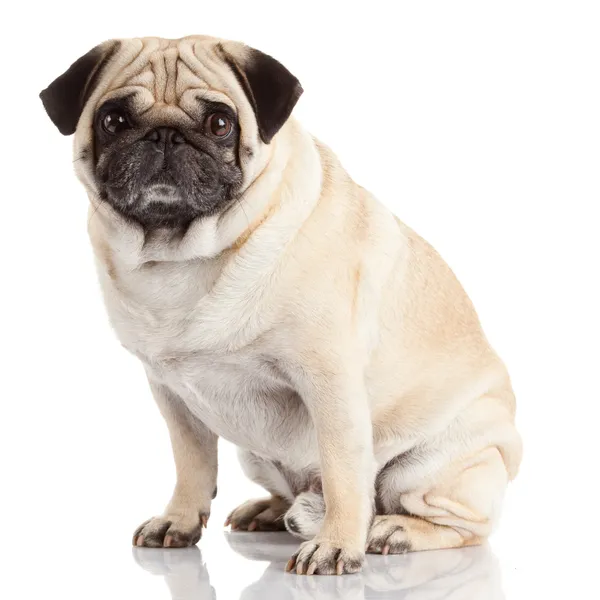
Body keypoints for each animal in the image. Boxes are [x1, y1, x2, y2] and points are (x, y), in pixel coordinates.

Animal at [41, 34, 520, 576]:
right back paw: (270, 510)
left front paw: (336, 544)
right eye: (115, 120)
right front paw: (179, 520)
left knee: (462, 526)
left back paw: (393, 531)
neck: (183, 258)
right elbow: (191, 462)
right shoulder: (171, 396)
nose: (164, 135)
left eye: (220, 123)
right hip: (256, 455)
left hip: (425, 468)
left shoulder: (330, 384)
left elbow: (343, 472)